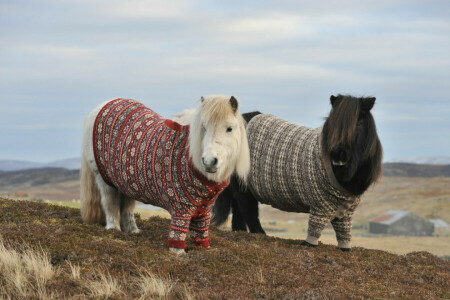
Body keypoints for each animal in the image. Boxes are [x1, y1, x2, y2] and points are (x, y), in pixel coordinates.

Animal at [79, 95, 251, 254]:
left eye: (229, 128)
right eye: (203, 127)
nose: (209, 161)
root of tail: (103, 105)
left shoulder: (204, 209)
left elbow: (201, 233)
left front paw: (204, 249)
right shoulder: (181, 208)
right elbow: (178, 233)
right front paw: (178, 253)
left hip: (126, 182)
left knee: (127, 207)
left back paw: (133, 231)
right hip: (104, 180)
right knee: (110, 203)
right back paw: (113, 229)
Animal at [213, 94, 382, 251]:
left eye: (359, 123)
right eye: (332, 122)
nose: (338, 155)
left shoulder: (346, 211)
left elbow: (344, 232)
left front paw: (345, 248)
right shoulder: (319, 206)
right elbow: (315, 228)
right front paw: (309, 244)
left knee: (238, 208)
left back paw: (240, 231)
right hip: (245, 187)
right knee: (248, 209)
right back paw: (260, 234)